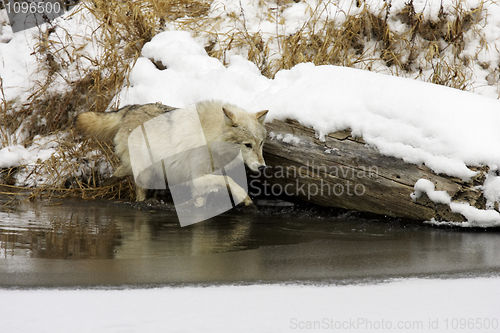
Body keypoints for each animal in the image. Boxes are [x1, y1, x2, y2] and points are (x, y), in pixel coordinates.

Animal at [75, 99, 268, 202]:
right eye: (247, 145)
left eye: (261, 143)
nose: (262, 167)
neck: (210, 135)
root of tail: (132, 107)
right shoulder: (198, 177)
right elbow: (229, 180)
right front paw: (244, 197)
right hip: (145, 173)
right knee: (138, 192)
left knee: (121, 170)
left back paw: (105, 182)